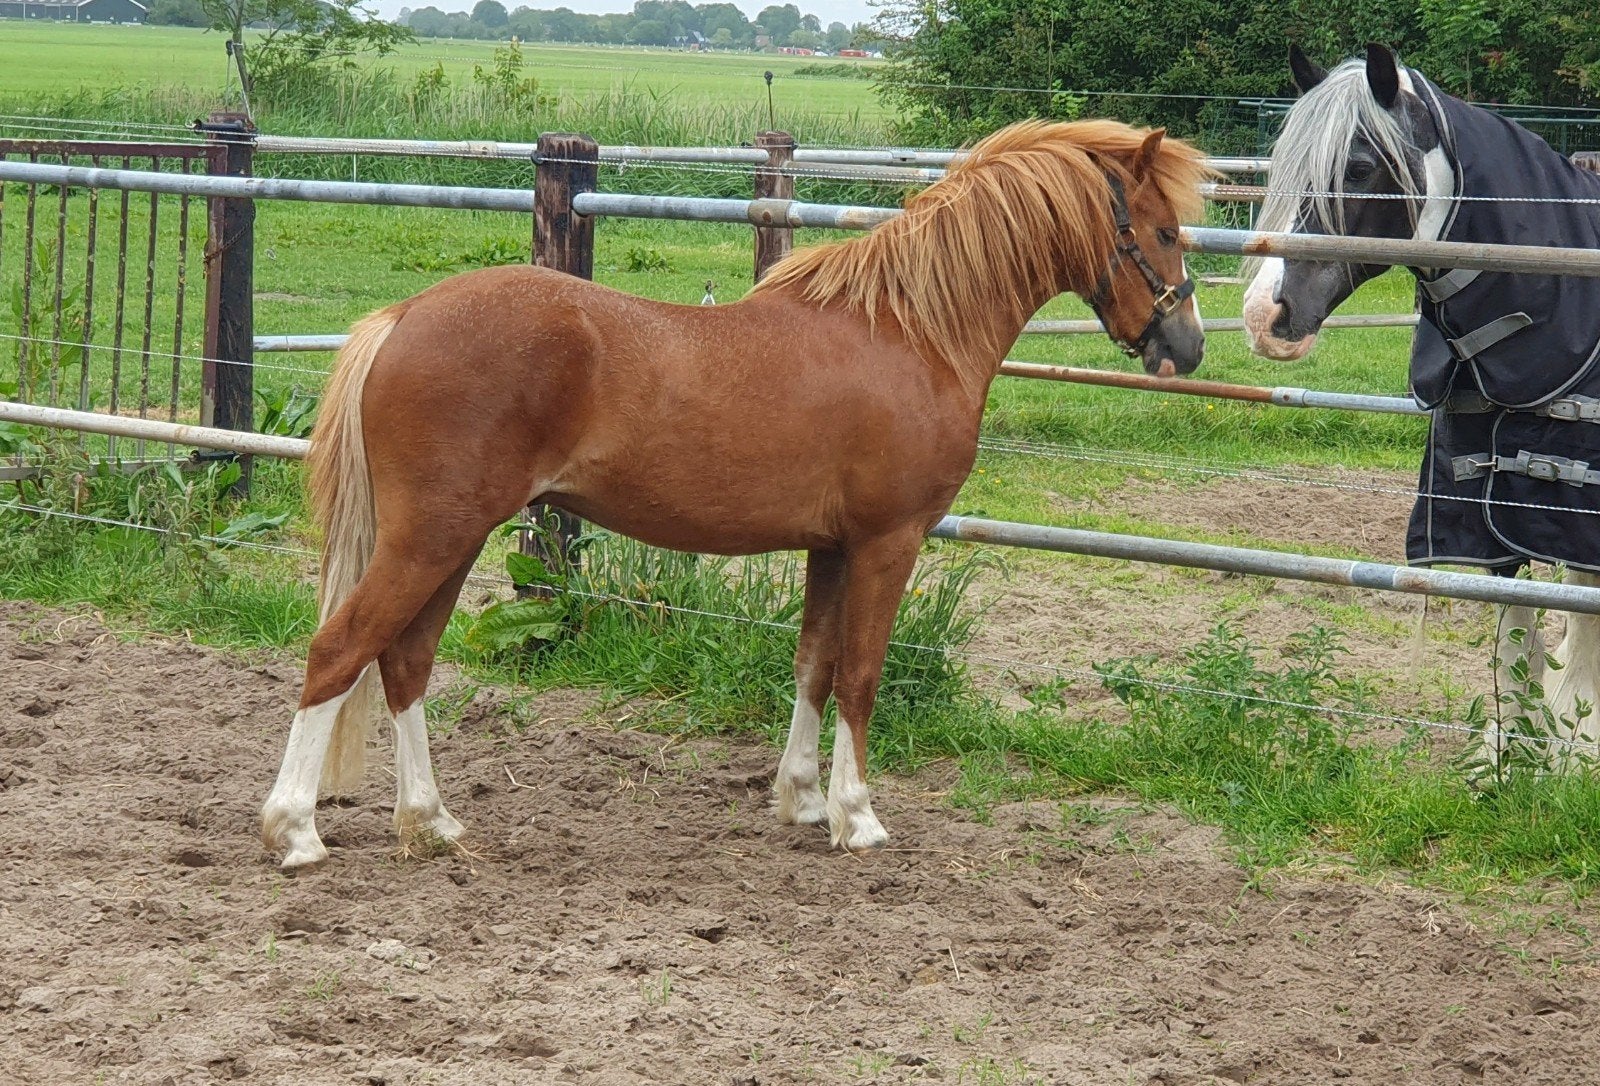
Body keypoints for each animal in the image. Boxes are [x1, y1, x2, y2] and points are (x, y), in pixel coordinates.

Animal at [260, 119, 1213, 869]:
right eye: (1164, 231)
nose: (1189, 347)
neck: (909, 331)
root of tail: (403, 318)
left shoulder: (831, 546)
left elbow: (813, 666)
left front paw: (802, 799)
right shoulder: (887, 540)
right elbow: (861, 674)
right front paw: (858, 817)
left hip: (450, 538)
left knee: (405, 662)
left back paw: (431, 823)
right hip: (432, 535)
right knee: (339, 650)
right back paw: (297, 831)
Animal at [1241, 44, 1600, 769]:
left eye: (1357, 168)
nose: (1264, 315)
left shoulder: (1578, 507)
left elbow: (1580, 615)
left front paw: (1576, 750)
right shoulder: (1482, 503)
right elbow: (1513, 620)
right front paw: (1504, 753)